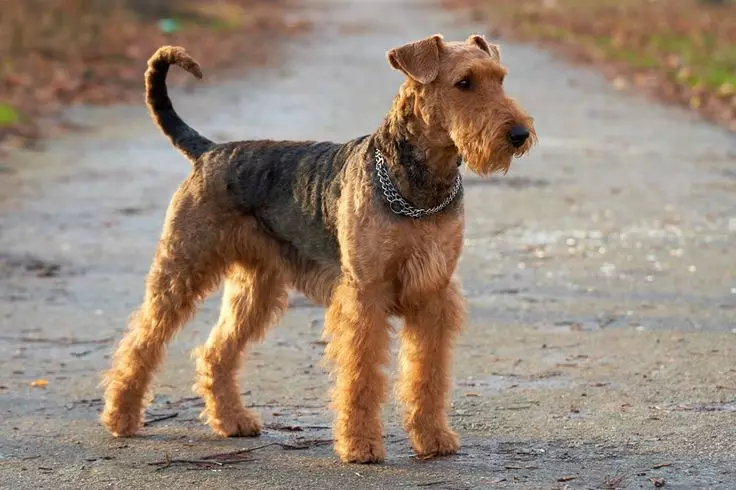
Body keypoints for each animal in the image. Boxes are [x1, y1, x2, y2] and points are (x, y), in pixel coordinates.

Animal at [100, 33, 536, 464]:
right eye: (464, 82)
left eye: (501, 78)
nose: (518, 134)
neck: (420, 189)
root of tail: (207, 151)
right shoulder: (365, 294)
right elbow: (360, 375)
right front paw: (360, 445)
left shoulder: (432, 293)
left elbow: (426, 374)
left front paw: (432, 438)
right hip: (182, 267)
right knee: (142, 340)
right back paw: (120, 417)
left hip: (255, 287)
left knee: (215, 351)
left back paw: (232, 420)